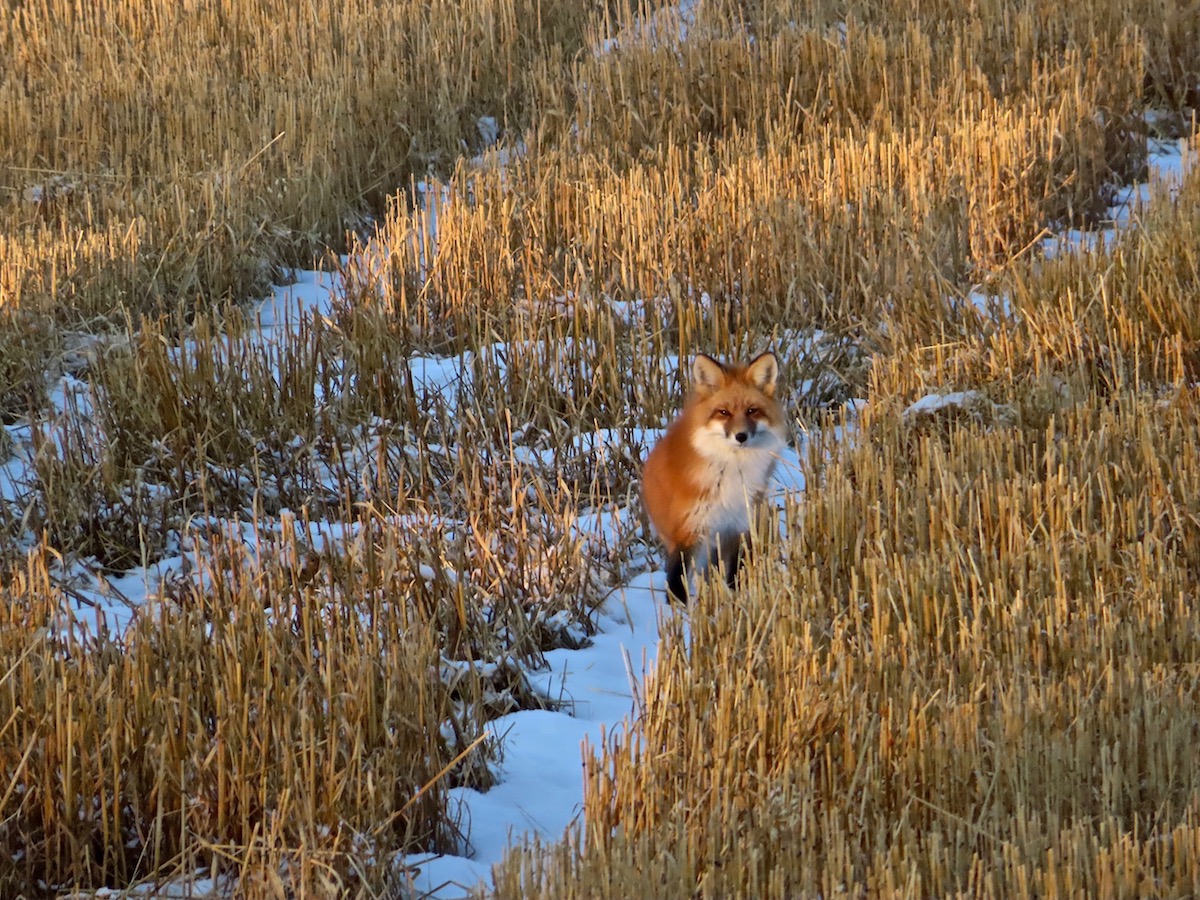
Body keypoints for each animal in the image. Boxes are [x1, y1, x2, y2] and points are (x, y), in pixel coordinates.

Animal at [638, 350, 787, 600]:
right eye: (724, 412)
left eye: (752, 410)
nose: (741, 436)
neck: (731, 472)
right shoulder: (686, 531)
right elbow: (676, 581)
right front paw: (678, 609)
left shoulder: (738, 527)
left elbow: (736, 575)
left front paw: (737, 600)